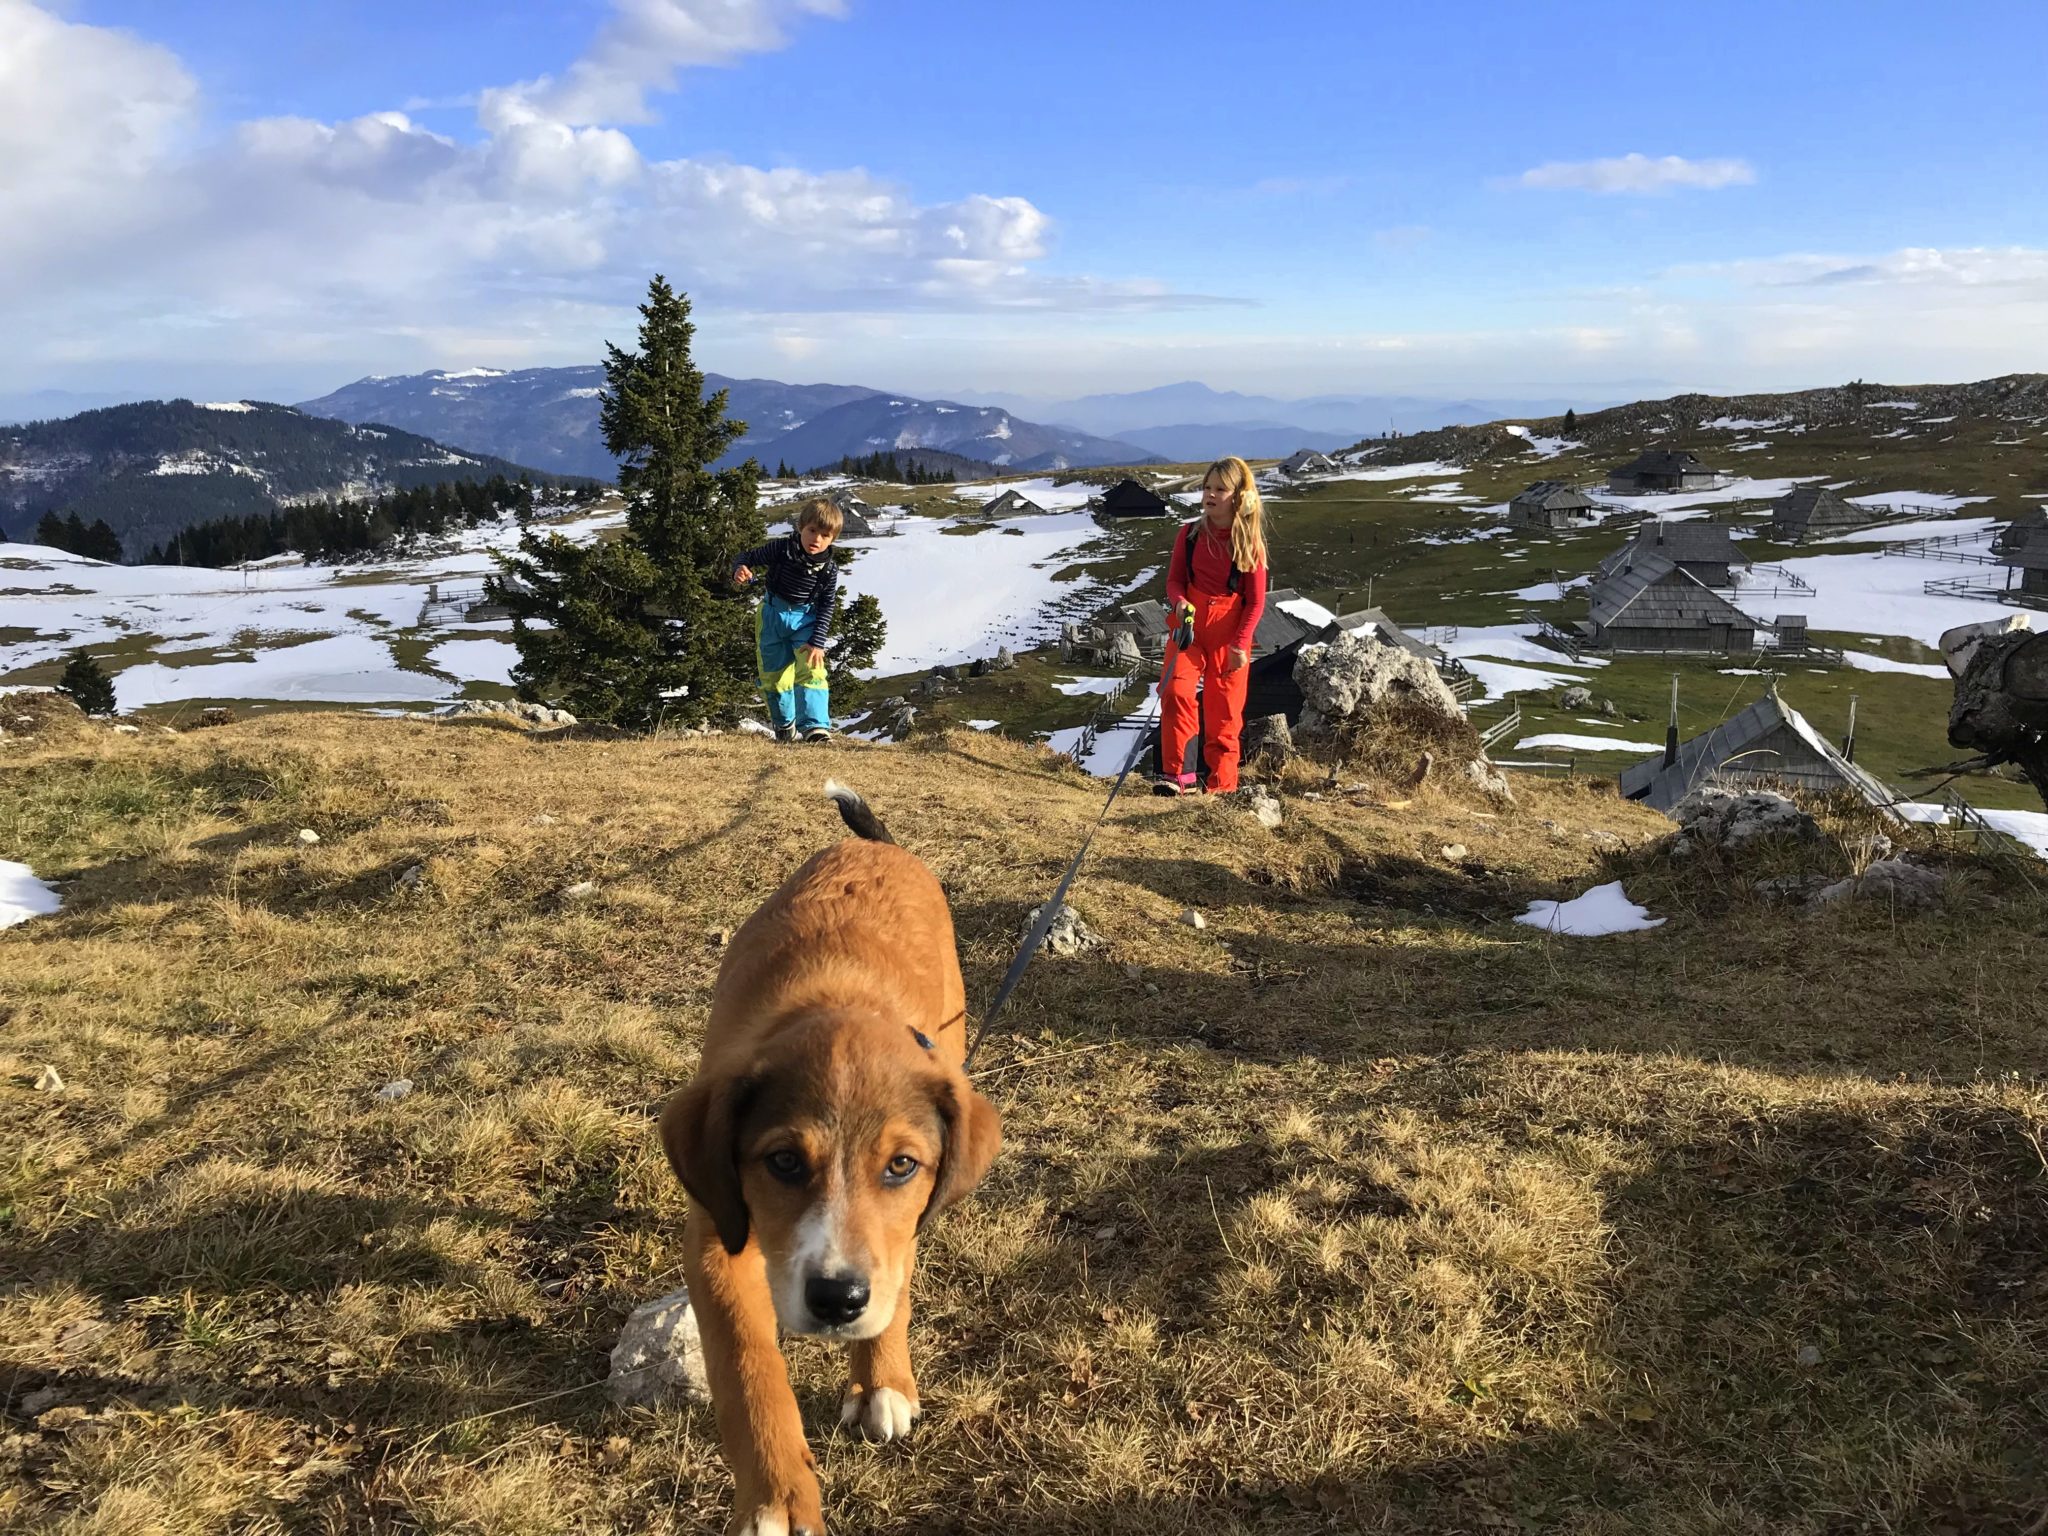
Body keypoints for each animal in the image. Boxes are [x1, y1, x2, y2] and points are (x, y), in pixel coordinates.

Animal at [663, 786, 999, 1531]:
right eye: (785, 1163)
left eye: (901, 1166)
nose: (838, 1301)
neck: (839, 998)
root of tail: (876, 848)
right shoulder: (717, 1234)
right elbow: (746, 1366)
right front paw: (778, 1496)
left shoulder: (900, 1225)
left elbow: (896, 1280)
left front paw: (882, 1382)